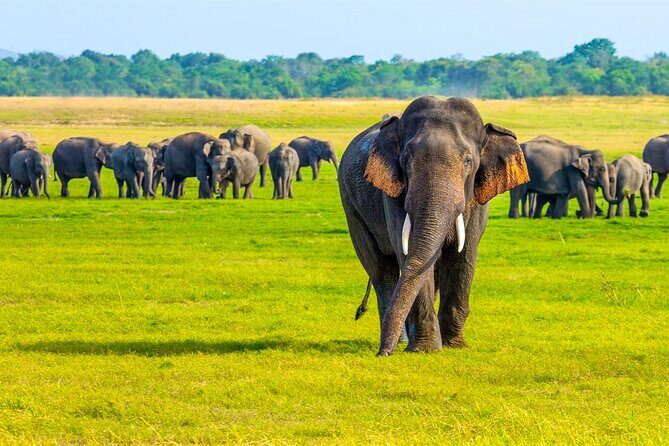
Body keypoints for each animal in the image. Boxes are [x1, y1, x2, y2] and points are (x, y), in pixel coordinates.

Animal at [338, 96, 529, 356]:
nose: (381, 354)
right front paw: (425, 350)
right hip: (351, 207)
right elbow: (409, 254)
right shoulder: (393, 193)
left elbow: (464, 255)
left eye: (468, 161)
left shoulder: (477, 200)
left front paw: (454, 346)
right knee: (381, 270)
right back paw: (401, 342)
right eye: (406, 160)